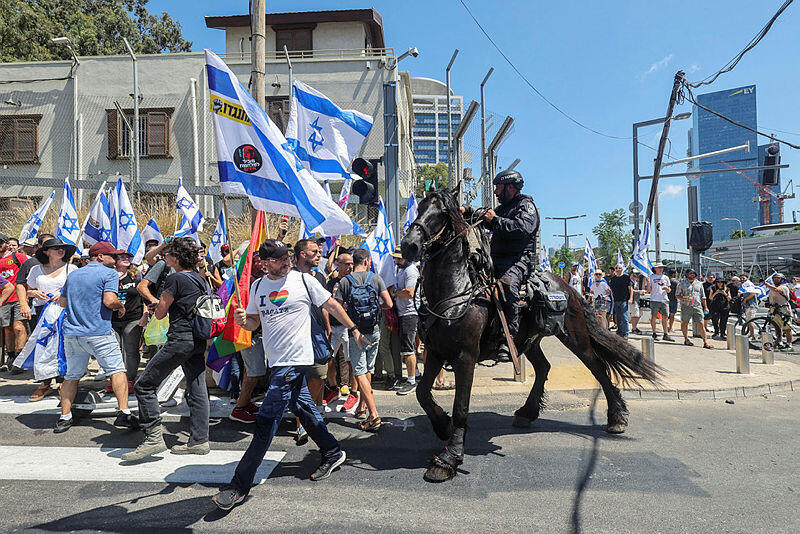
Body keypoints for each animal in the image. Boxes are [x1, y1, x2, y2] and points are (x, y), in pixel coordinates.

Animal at [404, 188, 660, 486]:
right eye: (420, 207)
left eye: (442, 213)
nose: (409, 245)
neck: (456, 291)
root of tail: (569, 288)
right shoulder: (435, 351)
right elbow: (422, 392)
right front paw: (442, 426)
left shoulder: (464, 357)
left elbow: (461, 407)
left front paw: (448, 459)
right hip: (527, 342)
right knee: (544, 367)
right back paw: (527, 412)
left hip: (575, 337)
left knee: (597, 367)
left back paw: (616, 417)